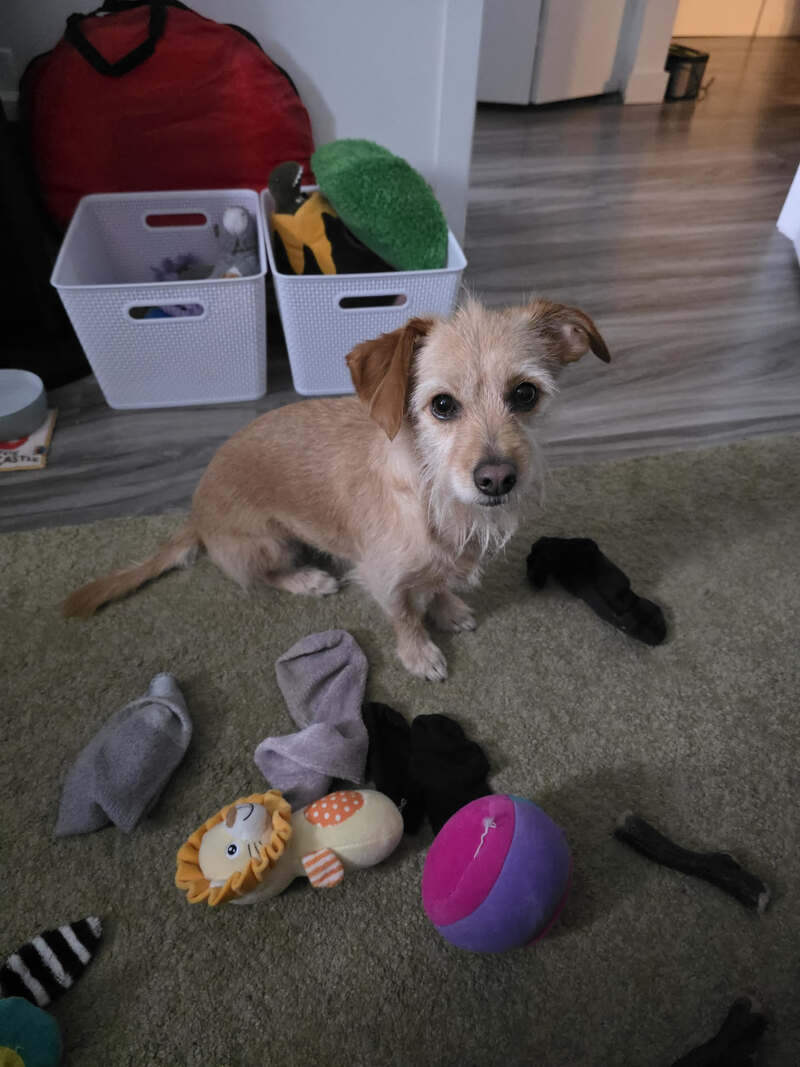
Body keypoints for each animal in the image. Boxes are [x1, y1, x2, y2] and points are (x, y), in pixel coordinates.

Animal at [62, 298, 610, 680]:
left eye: (525, 394)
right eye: (442, 405)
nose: (496, 478)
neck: (433, 496)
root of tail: (194, 516)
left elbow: (435, 586)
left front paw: (448, 609)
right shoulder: (383, 577)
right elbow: (405, 615)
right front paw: (420, 654)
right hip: (270, 542)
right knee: (260, 574)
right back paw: (307, 580)